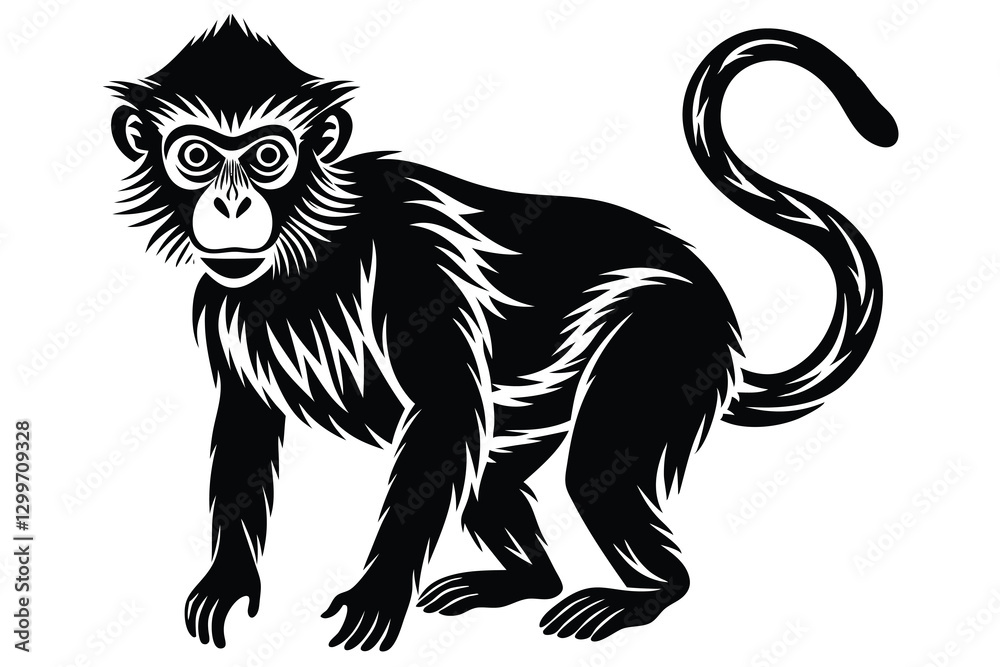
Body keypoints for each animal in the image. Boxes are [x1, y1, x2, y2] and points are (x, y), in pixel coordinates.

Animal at [109, 18, 896, 651]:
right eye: (196, 157)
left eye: (268, 157)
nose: (231, 205)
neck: (311, 249)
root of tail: (720, 319)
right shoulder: (225, 303)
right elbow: (248, 424)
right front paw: (230, 578)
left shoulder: (414, 267)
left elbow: (444, 412)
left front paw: (377, 589)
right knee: (490, 477)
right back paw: (529, 579)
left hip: (667, 339)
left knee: (591, 469)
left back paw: (649, 592)